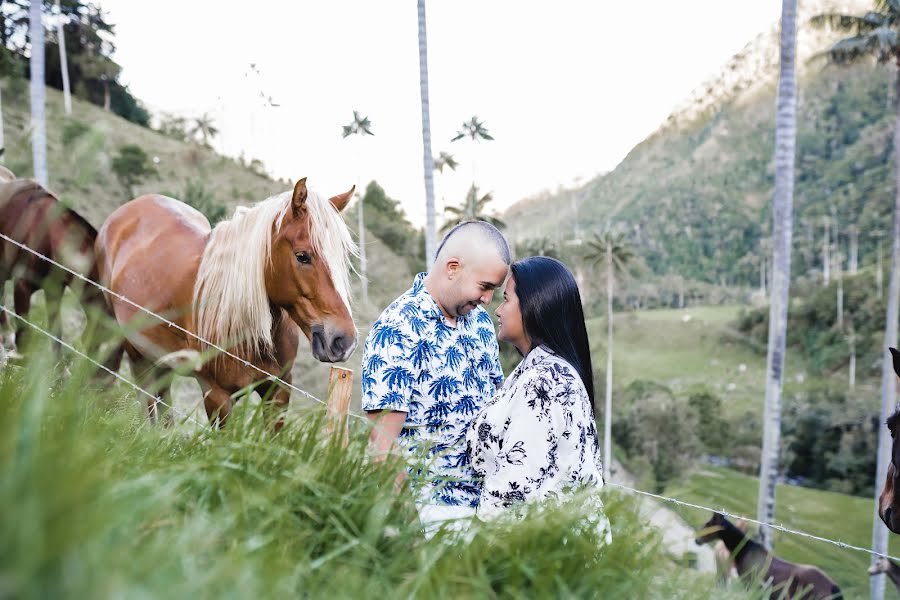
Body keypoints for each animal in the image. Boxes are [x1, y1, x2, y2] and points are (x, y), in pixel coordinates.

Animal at [94, 176, 356, 424]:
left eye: (342, 259)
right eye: (302, 256)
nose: (344, 340)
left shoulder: (278, 390)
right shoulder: (217, 395)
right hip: (134, 350)